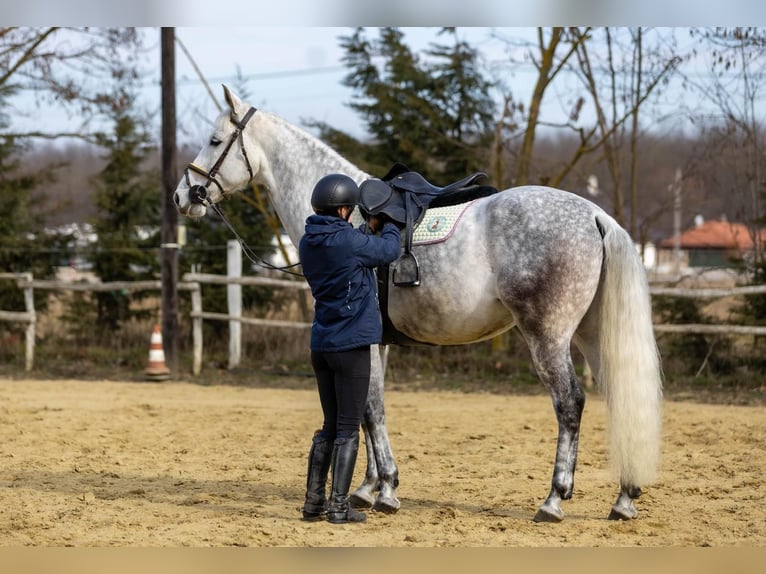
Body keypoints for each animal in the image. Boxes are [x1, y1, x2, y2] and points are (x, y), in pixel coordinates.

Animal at [171, 86, 664, 528]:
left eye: (214, 140)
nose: (183, 195)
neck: (347, 218)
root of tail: (595, 216)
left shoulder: (361, 343)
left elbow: (369, 410)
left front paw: (386, 489)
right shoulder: (376, 342)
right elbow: (371, 407)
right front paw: (369, 488)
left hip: (549, 338)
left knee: (569, 404)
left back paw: (554, 500)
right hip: (592, 335)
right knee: (618, 399)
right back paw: (624, 498)